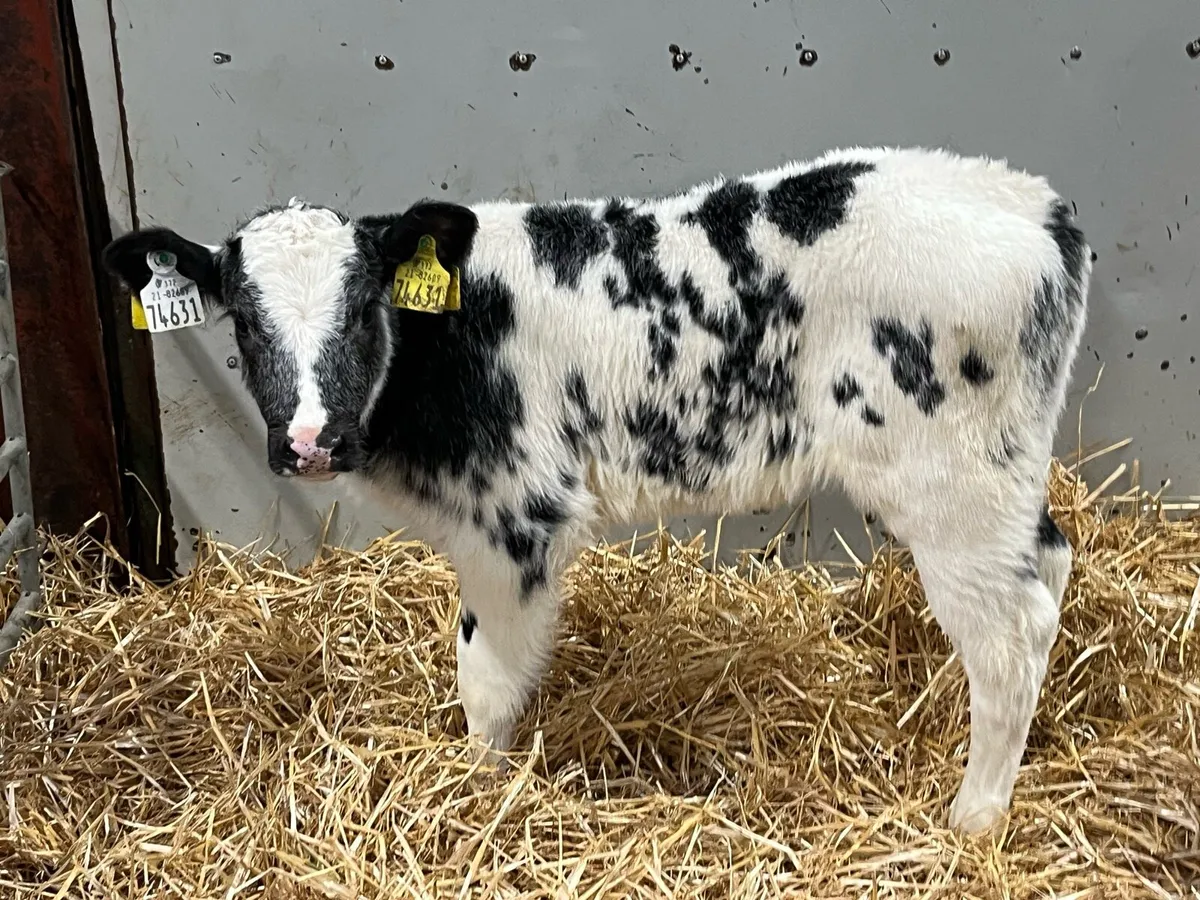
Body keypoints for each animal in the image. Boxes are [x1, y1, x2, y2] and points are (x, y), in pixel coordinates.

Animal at [102, 146, 1090, 833]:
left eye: (363, 308)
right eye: (243, 322)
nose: (312, 442)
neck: (442, 350)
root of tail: (1033, 208)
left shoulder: (514, 518)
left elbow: (485, 685)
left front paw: (478, 797)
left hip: (950, 484)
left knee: (1011, 634)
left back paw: (974, 818)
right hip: (1004, 472)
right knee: (1050, 567)